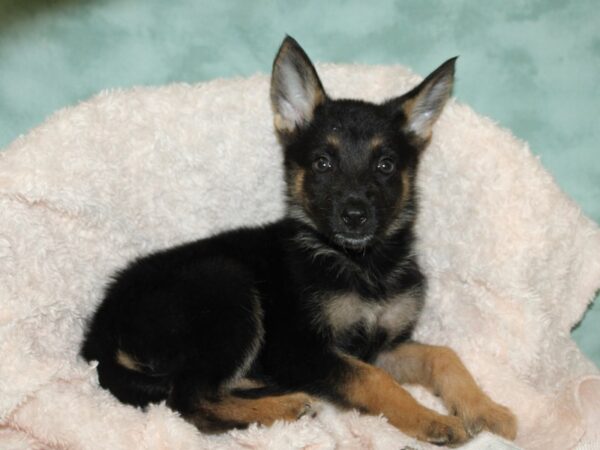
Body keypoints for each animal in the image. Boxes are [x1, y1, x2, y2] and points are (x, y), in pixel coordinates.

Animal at [82, 37, 516, 444]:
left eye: (385, 165)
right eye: (323, 163)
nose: (355, 215)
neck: (361, 263)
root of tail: (100, 333)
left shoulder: (382, 347)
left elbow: (444, 356)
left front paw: (486, 409)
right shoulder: (304, 349)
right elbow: (375, 381)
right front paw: (431, 419)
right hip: (225, 285)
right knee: (187, 400)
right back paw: (284, 407)